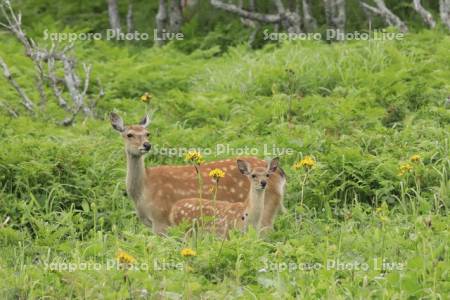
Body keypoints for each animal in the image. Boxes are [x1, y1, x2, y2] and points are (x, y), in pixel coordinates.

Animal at [109, 112, 284, 234]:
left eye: (147, 133)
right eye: (129, 134)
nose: (146, 145)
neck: (143, 191)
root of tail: (281, 174)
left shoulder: (160, 220)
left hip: (266, 211)